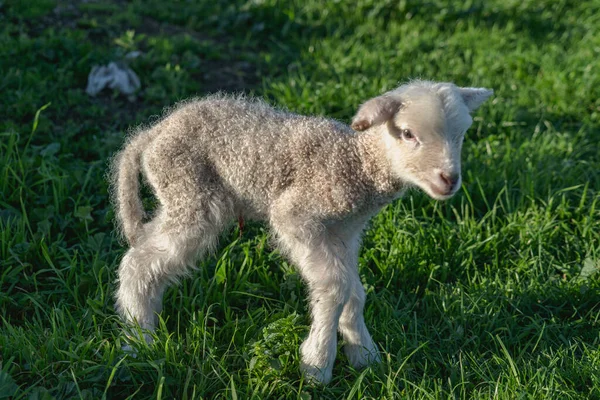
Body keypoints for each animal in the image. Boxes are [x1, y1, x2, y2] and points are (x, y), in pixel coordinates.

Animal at [111, 79, 492, 382]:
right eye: (409, 134)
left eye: (461, 136)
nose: (449, 179)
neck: (357, 165)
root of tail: (152, 132)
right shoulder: (296, 215)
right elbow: (335, 286)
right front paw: (317, 364)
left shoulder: (345, 233)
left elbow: (355, 291)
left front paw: (364, 355)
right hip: (192, 193)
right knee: (139, 262)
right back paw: (139, 341)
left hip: (180, 195)